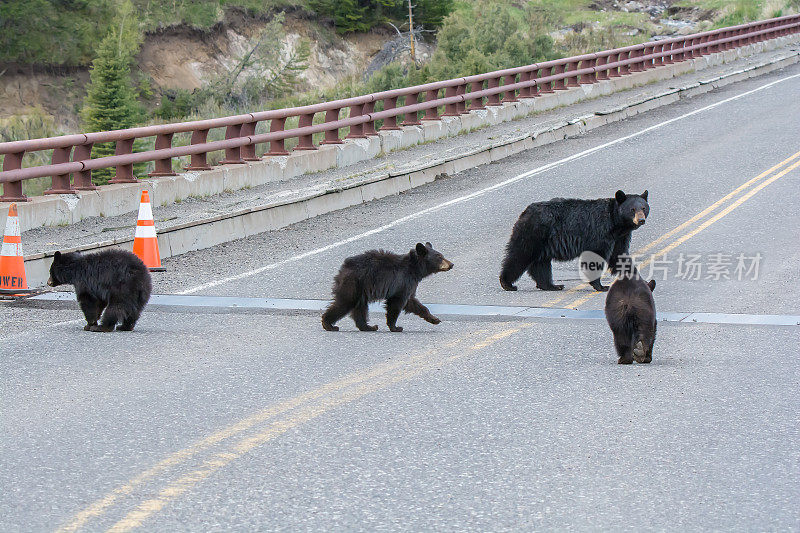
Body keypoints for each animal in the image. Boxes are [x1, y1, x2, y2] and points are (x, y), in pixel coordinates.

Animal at [320, 242, 454, 332]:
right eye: (440, 257)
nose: (451, 264)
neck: (414, 268)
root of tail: (344, 267)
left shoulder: (409, 285)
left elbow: (414, 303)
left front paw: (434, 319)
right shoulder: (402, 282)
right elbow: (397, 303)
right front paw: (395, 327)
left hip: (361, 290)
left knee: (360, 308)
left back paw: (368, 327)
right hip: (353, 284)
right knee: (344, 303)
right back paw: (329, 324)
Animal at [500, 190, 648, 290]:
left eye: (644, 208)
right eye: (632, 209)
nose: (641, 220)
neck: (615, 223)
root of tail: (525, 212)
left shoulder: (620, 237)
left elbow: (620, 256)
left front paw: (640, 281)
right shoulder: (600, 233)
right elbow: (595, 256)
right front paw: (600, 286)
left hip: (542, 243)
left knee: (540, 264)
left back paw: (551, 285)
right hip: (533, 233)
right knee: (519, 255)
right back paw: (507, 283)